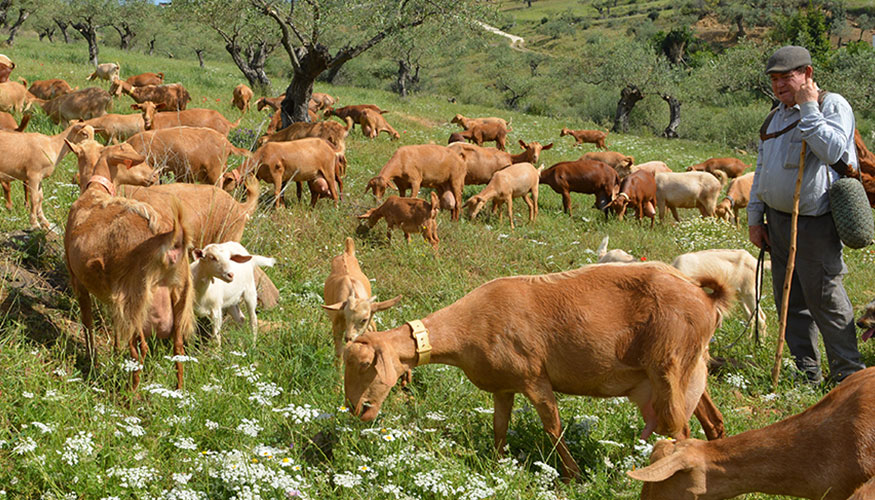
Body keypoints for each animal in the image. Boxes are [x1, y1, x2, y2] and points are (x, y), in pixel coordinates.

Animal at [64, 143, 194, 388]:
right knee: (178, 348)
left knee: (139, 349)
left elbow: (88, 323)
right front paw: (114, 355)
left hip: (136, 300)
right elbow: (115, 331)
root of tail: (169, 242)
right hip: (179, 297)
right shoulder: (113, 300)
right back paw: (179, 392)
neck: (93, 193)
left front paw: (92, 361)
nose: (154, 176)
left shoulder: (78, 281)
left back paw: (131, 393)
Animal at [324, 236, 402, 366]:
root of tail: (347, 252)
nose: (348, 338)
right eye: (346, 316)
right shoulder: (337, 328)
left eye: (364, 319)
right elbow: (339, 356)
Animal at [342, 262, 732, 480]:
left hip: (670, 368)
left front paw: (573, 475)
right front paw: (497, 465)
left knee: (680, 432)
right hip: (688, 371)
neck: (471, 324)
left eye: (365, 365)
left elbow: (553, 427)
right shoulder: (503, 386)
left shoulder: (534, 378)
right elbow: (499, 427)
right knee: (711, 422)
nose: (357, 410)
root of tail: (707, 298)